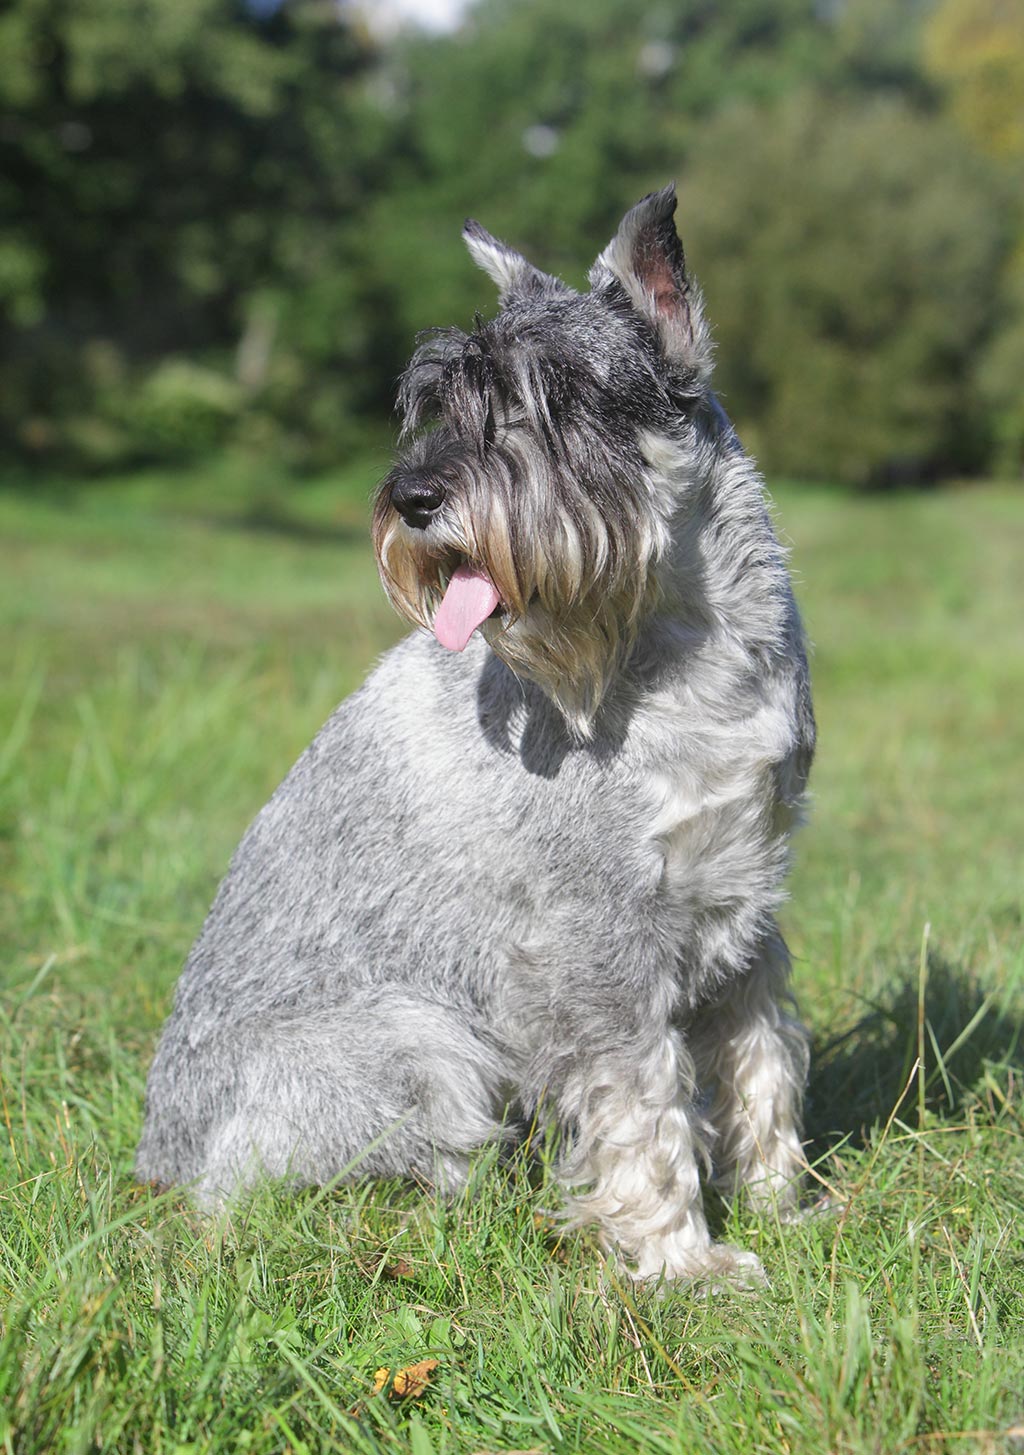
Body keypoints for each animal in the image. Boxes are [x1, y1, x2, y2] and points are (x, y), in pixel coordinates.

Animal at [138, 184, 814, 1286]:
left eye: (561, 396)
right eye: (441, 403)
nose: (414, 499)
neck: (678, 652)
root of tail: (157, 1162)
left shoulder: (745, 897)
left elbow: (759, 1055)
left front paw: (785, 1206)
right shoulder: (596, 940)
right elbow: (645, 1106)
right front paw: (683, 1262)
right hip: (424, 1046)